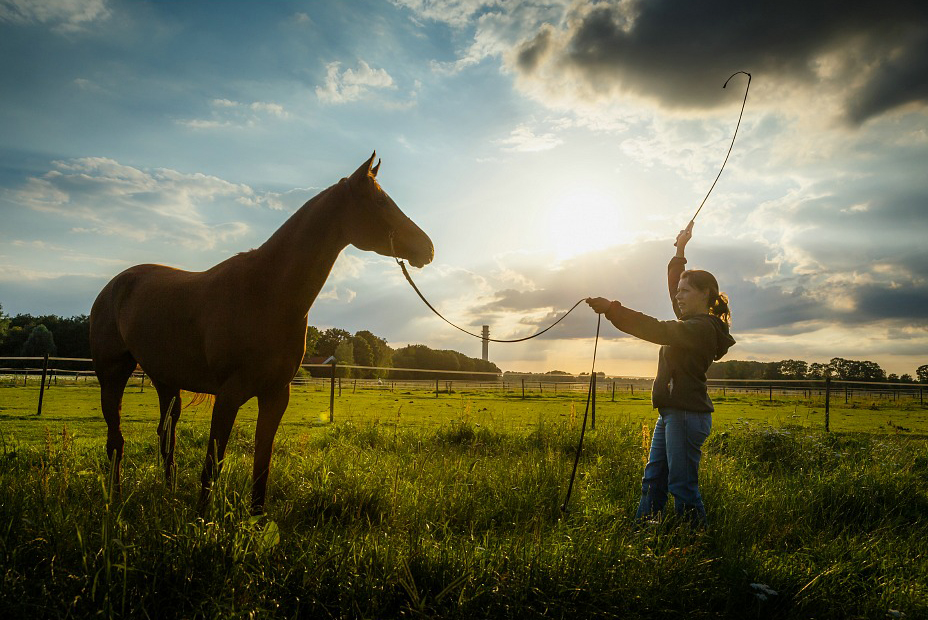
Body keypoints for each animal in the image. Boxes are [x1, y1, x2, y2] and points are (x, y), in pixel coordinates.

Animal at [89, 155, 434, 512]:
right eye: (380, 201)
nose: (428, 248)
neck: (267, 292)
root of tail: (114, 286)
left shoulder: (275, 395)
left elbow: (261, 467)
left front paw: (255, 519)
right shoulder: (228, 395)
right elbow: (212, 463)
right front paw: (201, 519)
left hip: (167, 382)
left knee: (165, 437)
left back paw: (167, 495)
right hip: (113, 376)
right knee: (116, 442)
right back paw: (114, 500)